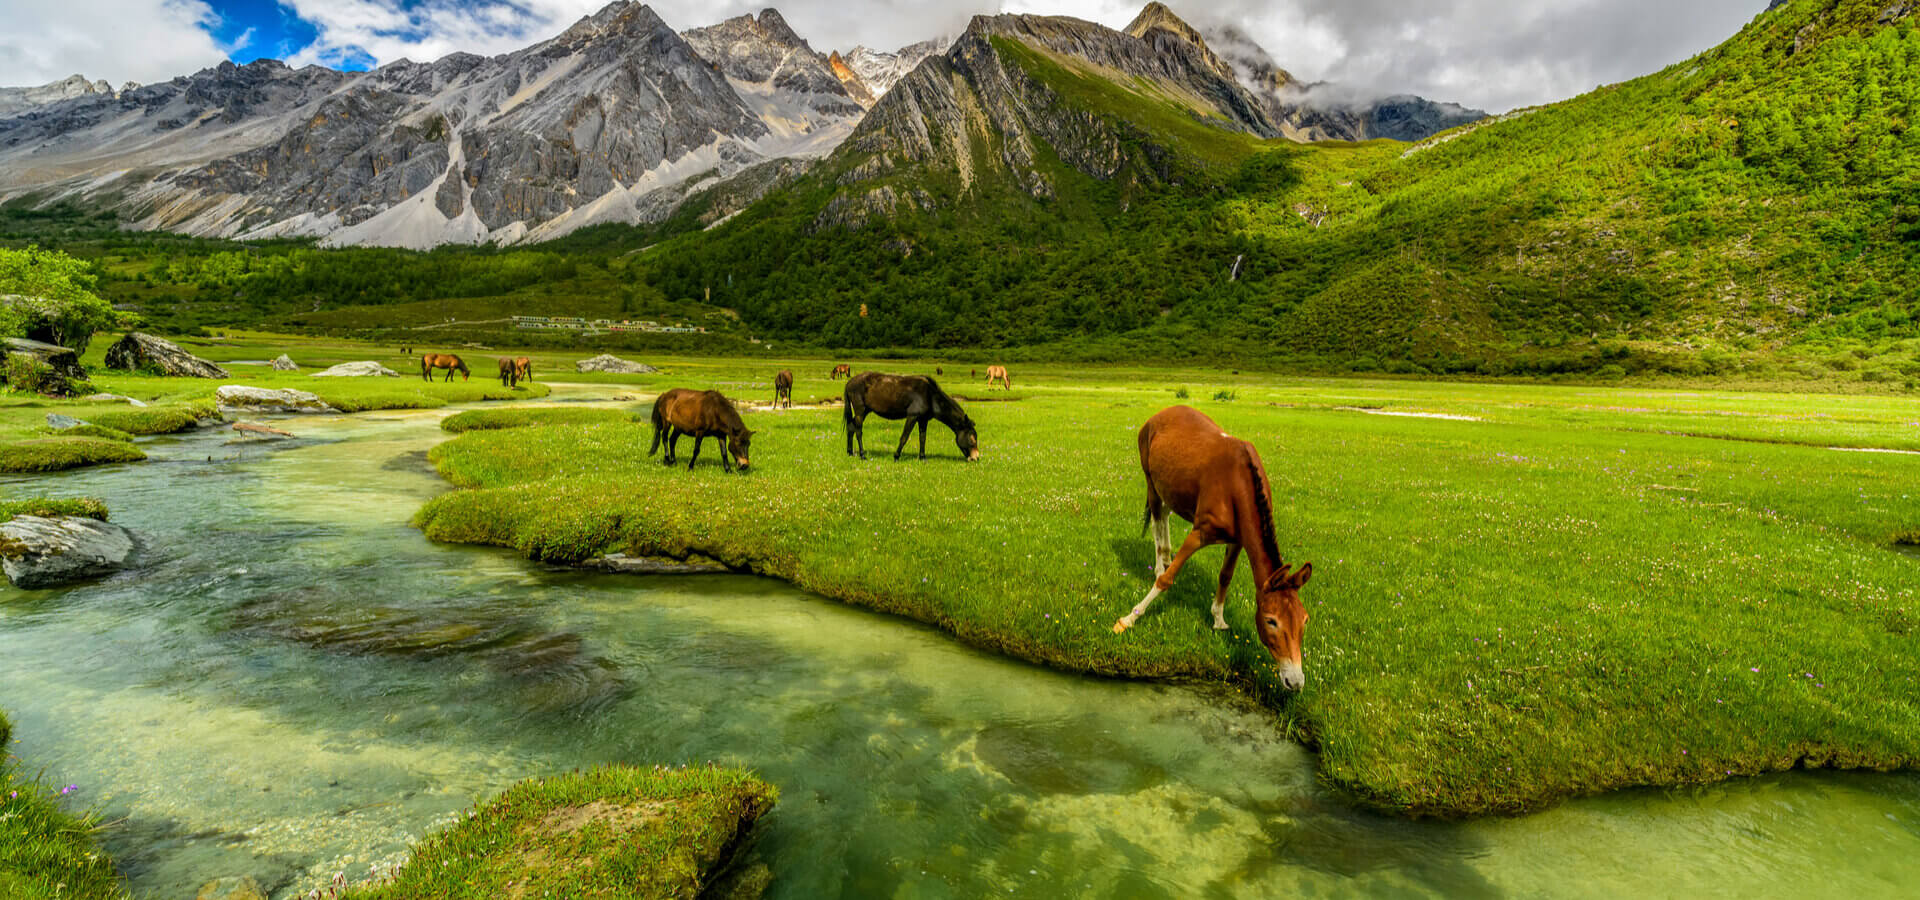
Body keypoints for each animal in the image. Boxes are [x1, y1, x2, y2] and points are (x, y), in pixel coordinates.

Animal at [848, 370, 983, 458]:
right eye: (972, 438)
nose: (976, 457)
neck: (930, 395)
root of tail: (850, 382)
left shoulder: (923, 420)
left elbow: (922, 438)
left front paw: (922, 457)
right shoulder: (912, 416)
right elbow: (904, 437)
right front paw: (896, 456)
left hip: (865, 411)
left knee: (851, 426)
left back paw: (850, 452)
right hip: (860, 411)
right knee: (858, 431)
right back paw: (862, 455)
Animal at [1113, 404, 1320, 686]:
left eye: (1304, 620)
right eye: (1271, 621)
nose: (1295, 681)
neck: (1238, 485)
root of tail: (1158, 414)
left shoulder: (1237, 540)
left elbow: (1225, 576)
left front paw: (1219, 618)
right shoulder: (1199, 533)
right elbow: (1167, 580)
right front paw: (1129, 618)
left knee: (1164, 515)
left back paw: (1165, 557)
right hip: (1151, 481)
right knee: (1157, 520)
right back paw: (1159, 564)